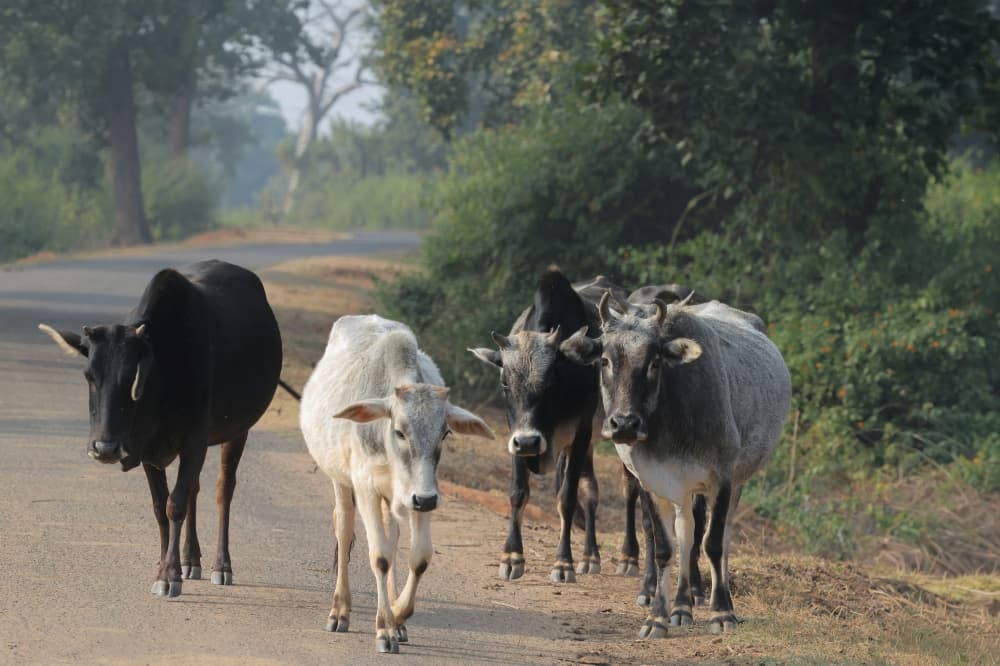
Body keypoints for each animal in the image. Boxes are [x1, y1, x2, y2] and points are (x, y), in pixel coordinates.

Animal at [38, 259, 285, 598]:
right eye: (89, 376)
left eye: (132, 376)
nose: (104, 448)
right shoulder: (147, 449)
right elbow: (160, 508)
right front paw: (166, 566)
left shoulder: (194, 440)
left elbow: (175, 505)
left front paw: (169, 576)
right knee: (194, 488)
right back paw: (190, 559)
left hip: (237, 431)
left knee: (224, 489)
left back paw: (220, 565)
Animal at [300, 315, 494, 654]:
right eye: (400, 431)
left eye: (445, 433)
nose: (424, 500)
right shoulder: (366, 488)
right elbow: (379, 556)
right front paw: (385, 628)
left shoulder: (421, 494)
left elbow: (419, 557)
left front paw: (399, 614)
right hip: (341, 480)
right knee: (344, 530)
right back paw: (340, 610)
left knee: (392, 535)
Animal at [561, 295, 791, 636]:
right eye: (604, 361)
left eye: (654, 363)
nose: (624, 424)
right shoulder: (652, 483)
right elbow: (665, 548)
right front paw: (657, 616)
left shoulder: (721, 480)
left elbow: (712, 544)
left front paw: (721, 613)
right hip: (682, 492)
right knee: (686, 534)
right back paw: (682, 606)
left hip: (735, 482)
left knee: (721, 537)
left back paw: (716, 600)